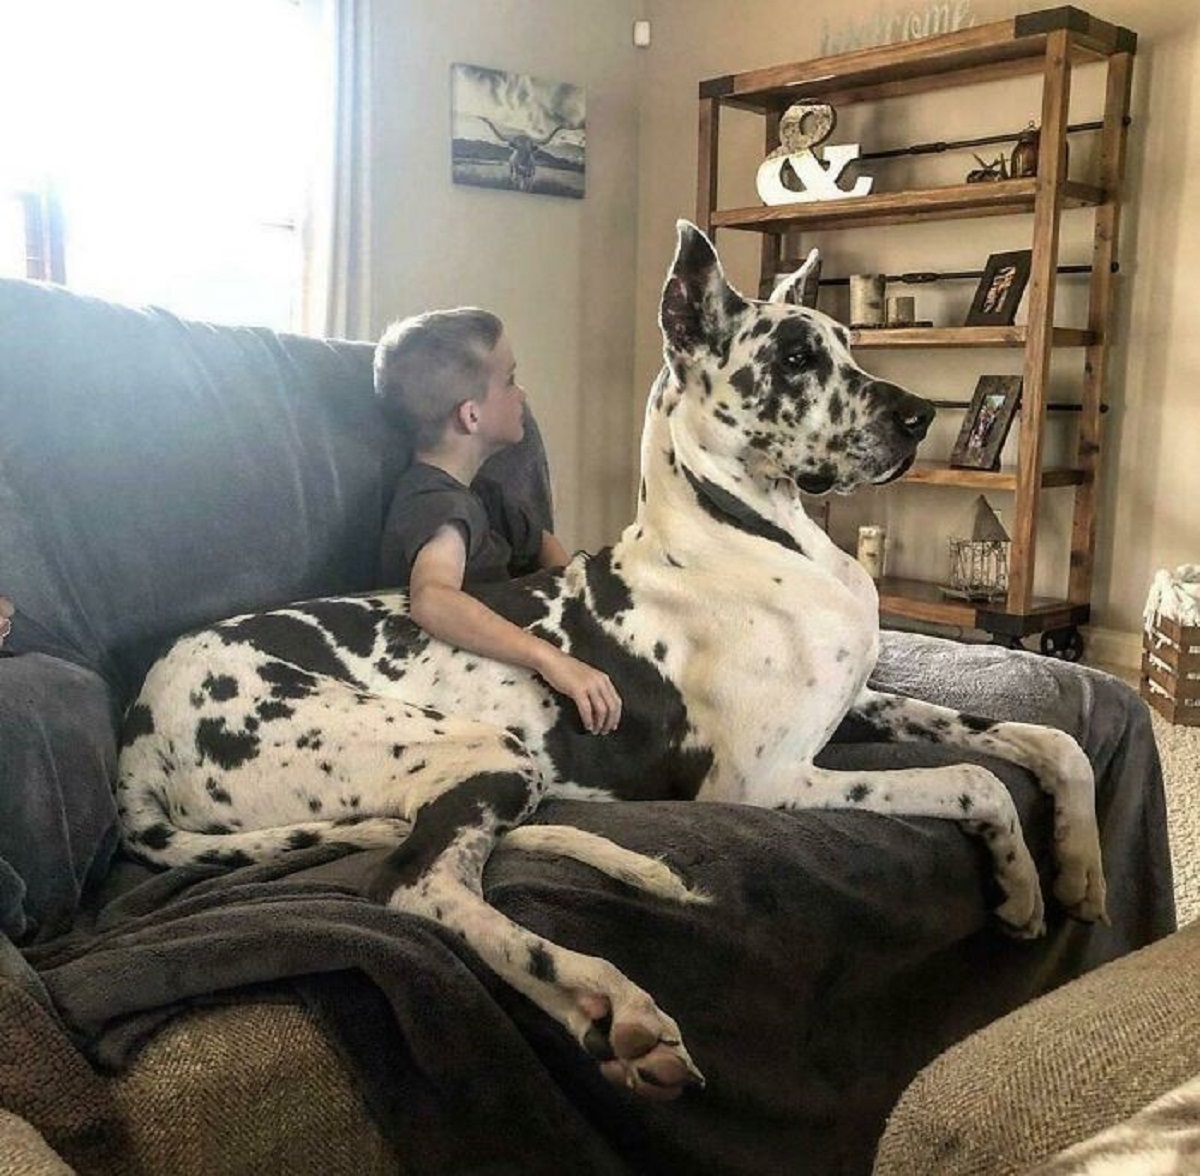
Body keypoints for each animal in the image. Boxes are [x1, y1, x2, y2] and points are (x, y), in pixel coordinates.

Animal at [119, 220, 1104, 1104]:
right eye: (792, 358)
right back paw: (607, 997)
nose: (920, 415)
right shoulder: (766, 782)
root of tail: (140, 729)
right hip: (483, 752)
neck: (745, 534)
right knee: (416, 889)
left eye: (845, 344)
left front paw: (1076, 867)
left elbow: (1046, 741)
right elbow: (974, 778)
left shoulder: (864, 701)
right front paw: (1021, 885)